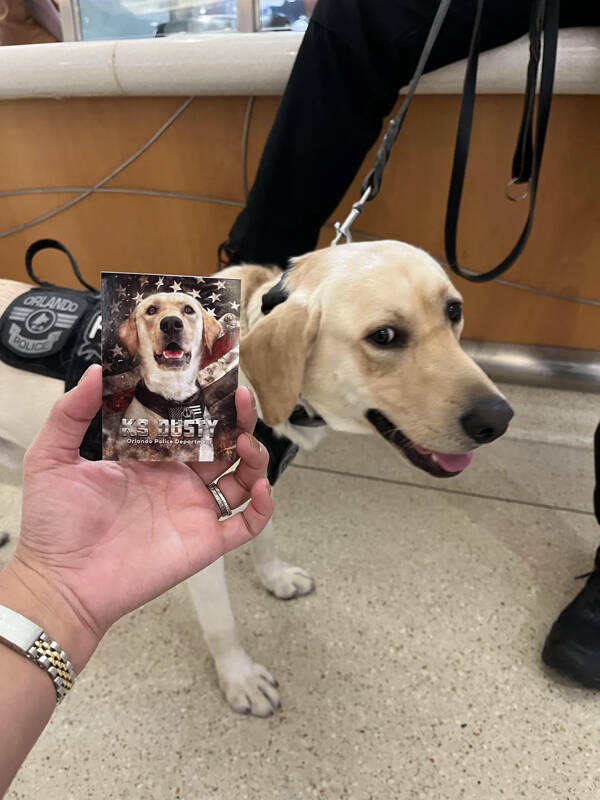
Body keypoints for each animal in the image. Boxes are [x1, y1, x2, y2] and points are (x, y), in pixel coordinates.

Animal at [0, 239, 510, 720]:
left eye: (454, 311)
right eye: (384, 336)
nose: (499, 419)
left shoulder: (262, 483)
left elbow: (266, 539)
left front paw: (275, 578)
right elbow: (222, 624)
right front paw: (240, 679)